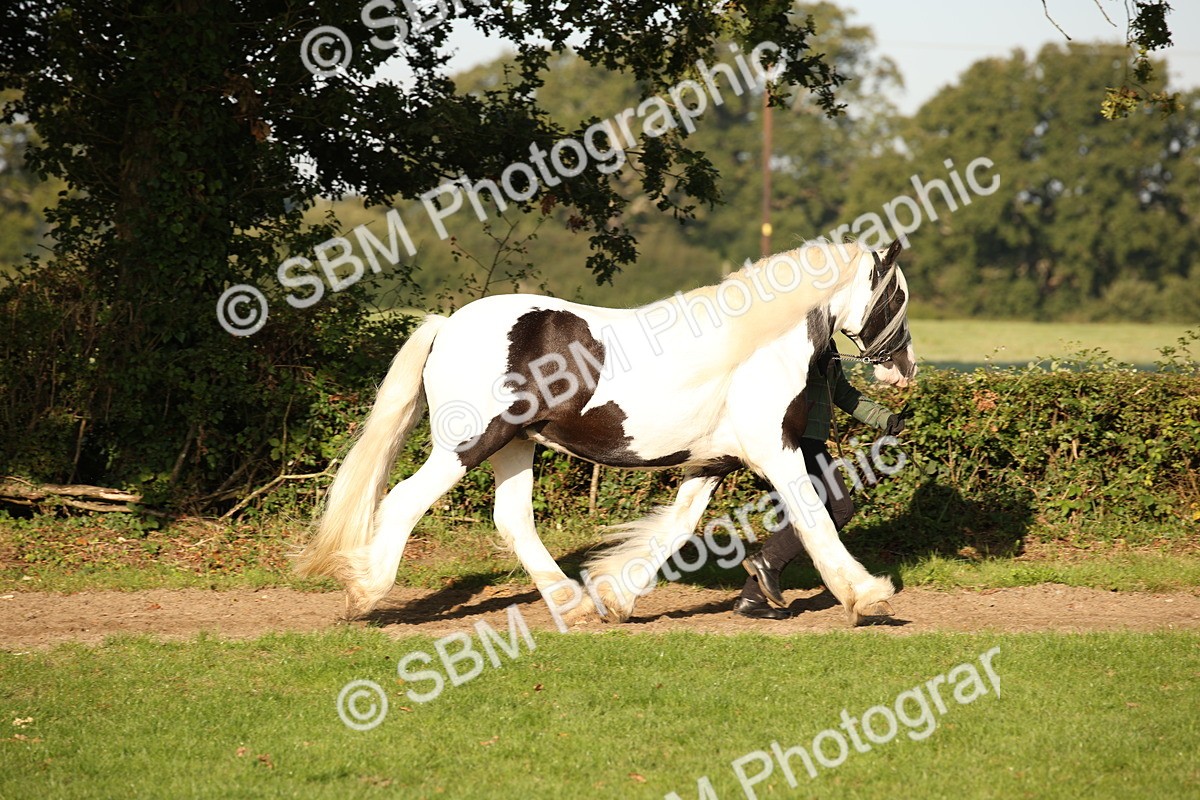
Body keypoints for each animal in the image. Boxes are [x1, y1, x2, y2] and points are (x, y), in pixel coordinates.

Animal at [295, 239, 918, 626]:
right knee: (403, 500)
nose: (905, 369)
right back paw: (365, 591)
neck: (757, 346)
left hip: (515, 445)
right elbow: (816, 519)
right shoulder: (777, 452)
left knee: (513, 520)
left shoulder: (712, 462)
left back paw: (570, 604)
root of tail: (448, 325)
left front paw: (615, 597)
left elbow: (676, 527)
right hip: (471, 443)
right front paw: (868, 595)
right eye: (897, 294)